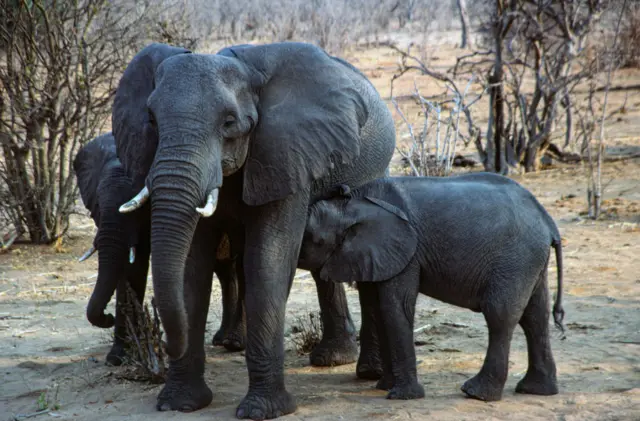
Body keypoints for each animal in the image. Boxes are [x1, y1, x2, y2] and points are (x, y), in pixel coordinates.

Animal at [72, 133, 248, 362]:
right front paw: (118, 358)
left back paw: (234, 343)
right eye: (98, 206)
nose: (107, 317)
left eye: (140, 207)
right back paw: (221, 339)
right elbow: (131, 269)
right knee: (226, 269)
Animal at [112, 41, 398, 416]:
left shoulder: (286, 152)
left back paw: (365, 371)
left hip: (372, 170)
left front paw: (262, 411)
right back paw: (332, 356)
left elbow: (267, 260)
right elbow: (192, 267)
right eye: (151, 120)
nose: (163, 346)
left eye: (229, 123)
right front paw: (180, 403)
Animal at [298, 173, 564, 400]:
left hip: (515, 260)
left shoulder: (406, 253)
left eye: (312, 239)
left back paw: (476, 393)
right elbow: (379, 308)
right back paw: (536, 390)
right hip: (530, 261)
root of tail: (548, 221)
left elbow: (395, 308)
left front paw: (401, 396)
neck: (355, 200)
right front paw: (384, 386)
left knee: (500, 315)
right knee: (535, 316)